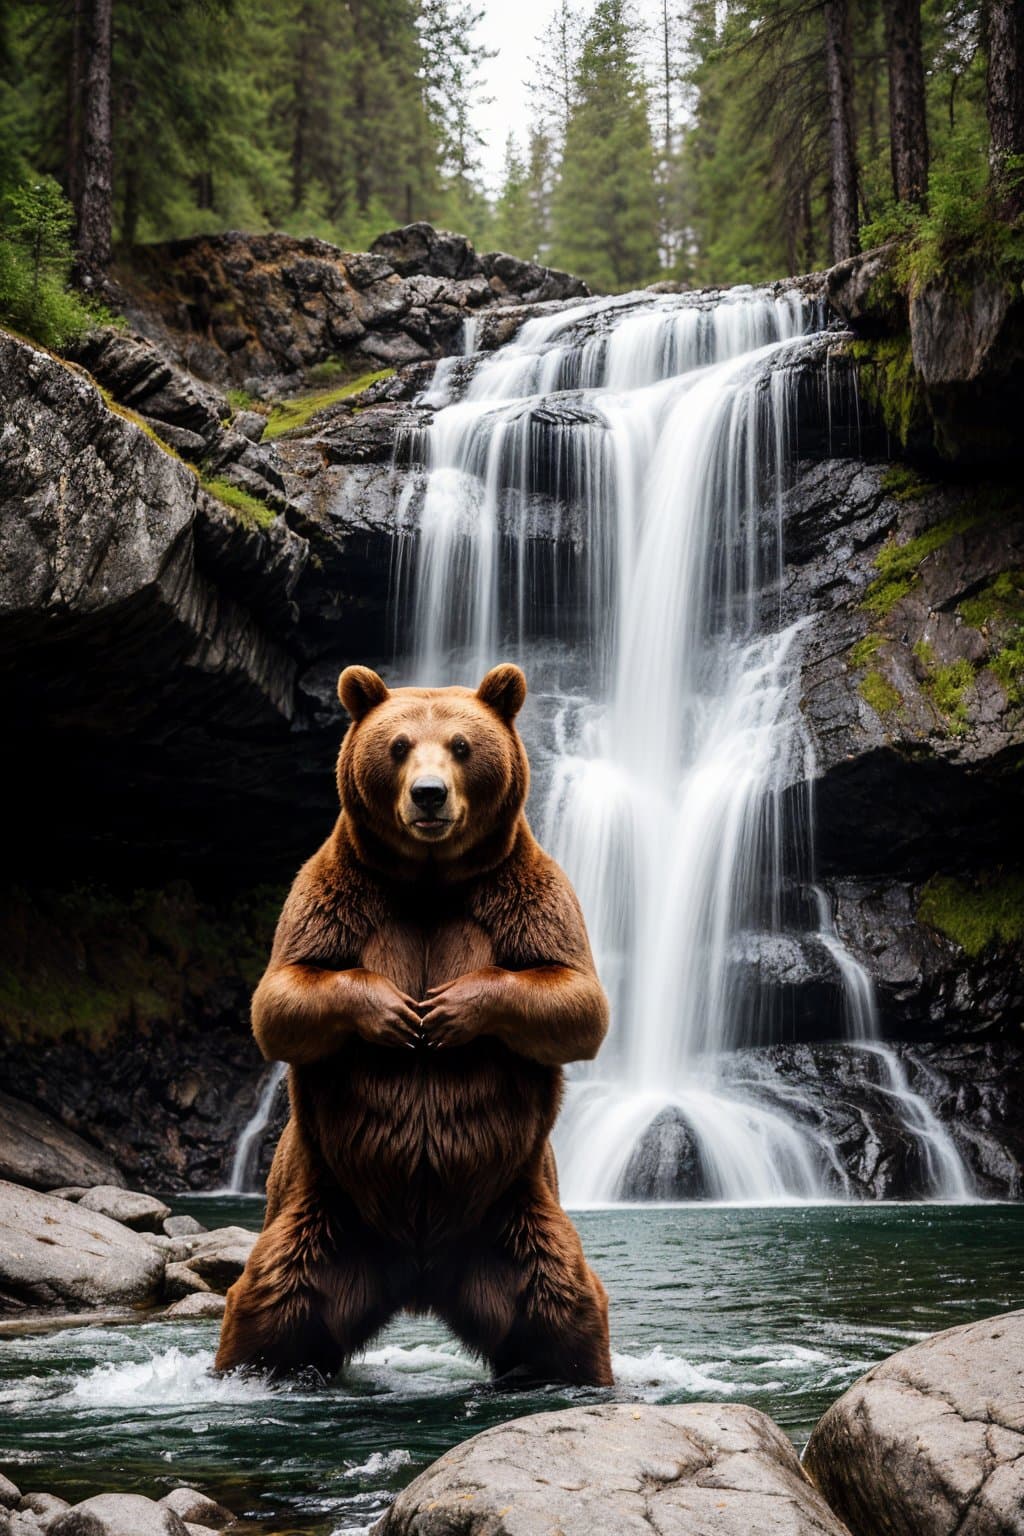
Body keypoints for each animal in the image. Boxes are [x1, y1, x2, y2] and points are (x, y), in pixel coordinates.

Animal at [214, 661, 613, 1387]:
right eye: (399, 745)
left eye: (461, 745)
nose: (429, 796)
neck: (431, 881)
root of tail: (421, 1277)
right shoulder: (337, 892)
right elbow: (282, 996)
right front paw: (397, 1012)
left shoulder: (524, 891)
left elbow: (575, 997)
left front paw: (450, 1008)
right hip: (322, 1205)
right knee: (268, 1304)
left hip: (515, 1210)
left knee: (564, 1305)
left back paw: (576, 1373)